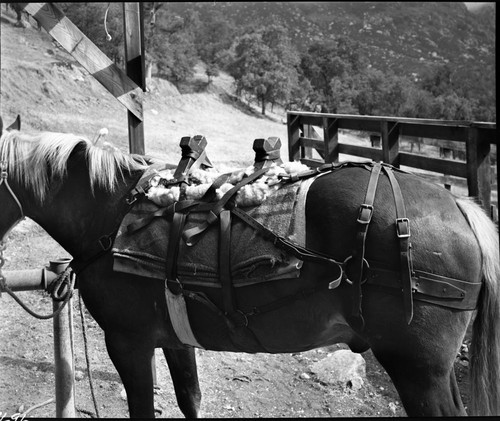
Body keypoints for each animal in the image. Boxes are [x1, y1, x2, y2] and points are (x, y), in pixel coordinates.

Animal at [0, 122, 498, 416]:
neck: (111, 212)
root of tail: (458, 206)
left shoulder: (129, 342)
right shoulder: (173, 339)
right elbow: (190, 399)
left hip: (416, 369)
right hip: (433, 371)